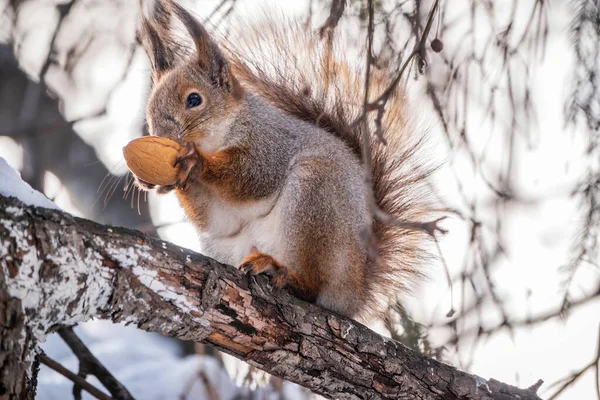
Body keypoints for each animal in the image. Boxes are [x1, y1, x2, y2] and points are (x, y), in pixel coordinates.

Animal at [135, 0, 436, 324]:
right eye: (149, 109)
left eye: (194, 100)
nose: (163, 137)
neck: (224, 133)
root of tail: (354, 295)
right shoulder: (220, 217)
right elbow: (215, 219)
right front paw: (157, 180)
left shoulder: (271, 145)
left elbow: (252, 177)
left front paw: (196, 161)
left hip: (314, 200)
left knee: (312, 288)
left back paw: (282, 273)